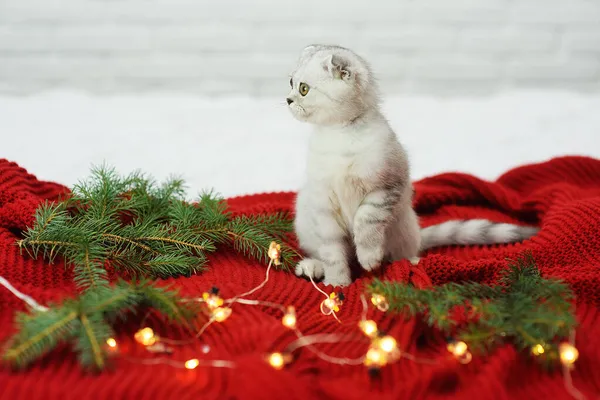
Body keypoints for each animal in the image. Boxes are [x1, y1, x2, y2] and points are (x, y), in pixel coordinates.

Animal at [286, 44, 540, 288]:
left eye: (303, 89)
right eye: (290, 82)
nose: (288, 99)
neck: (339, 135)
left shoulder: (386, 187)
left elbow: (365, 221)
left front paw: (368, 257)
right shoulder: (323, 205)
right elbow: (333, 252)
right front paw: (337, 282)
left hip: (404, 226)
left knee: (401, 254)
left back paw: (411, 261)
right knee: (322, 252)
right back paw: (311, 267)